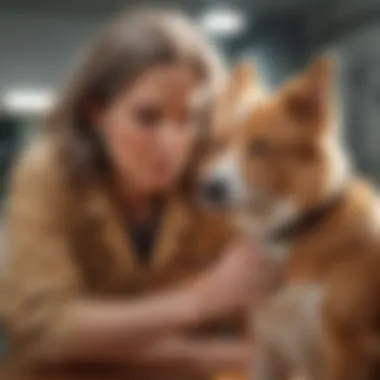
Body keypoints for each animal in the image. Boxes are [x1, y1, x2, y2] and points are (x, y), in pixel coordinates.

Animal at [199, 57, 380, 380]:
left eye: (260, 146)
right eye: (219, 143)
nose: (209, 188)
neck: (290, 232)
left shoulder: (347, 350)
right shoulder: (268, 347)